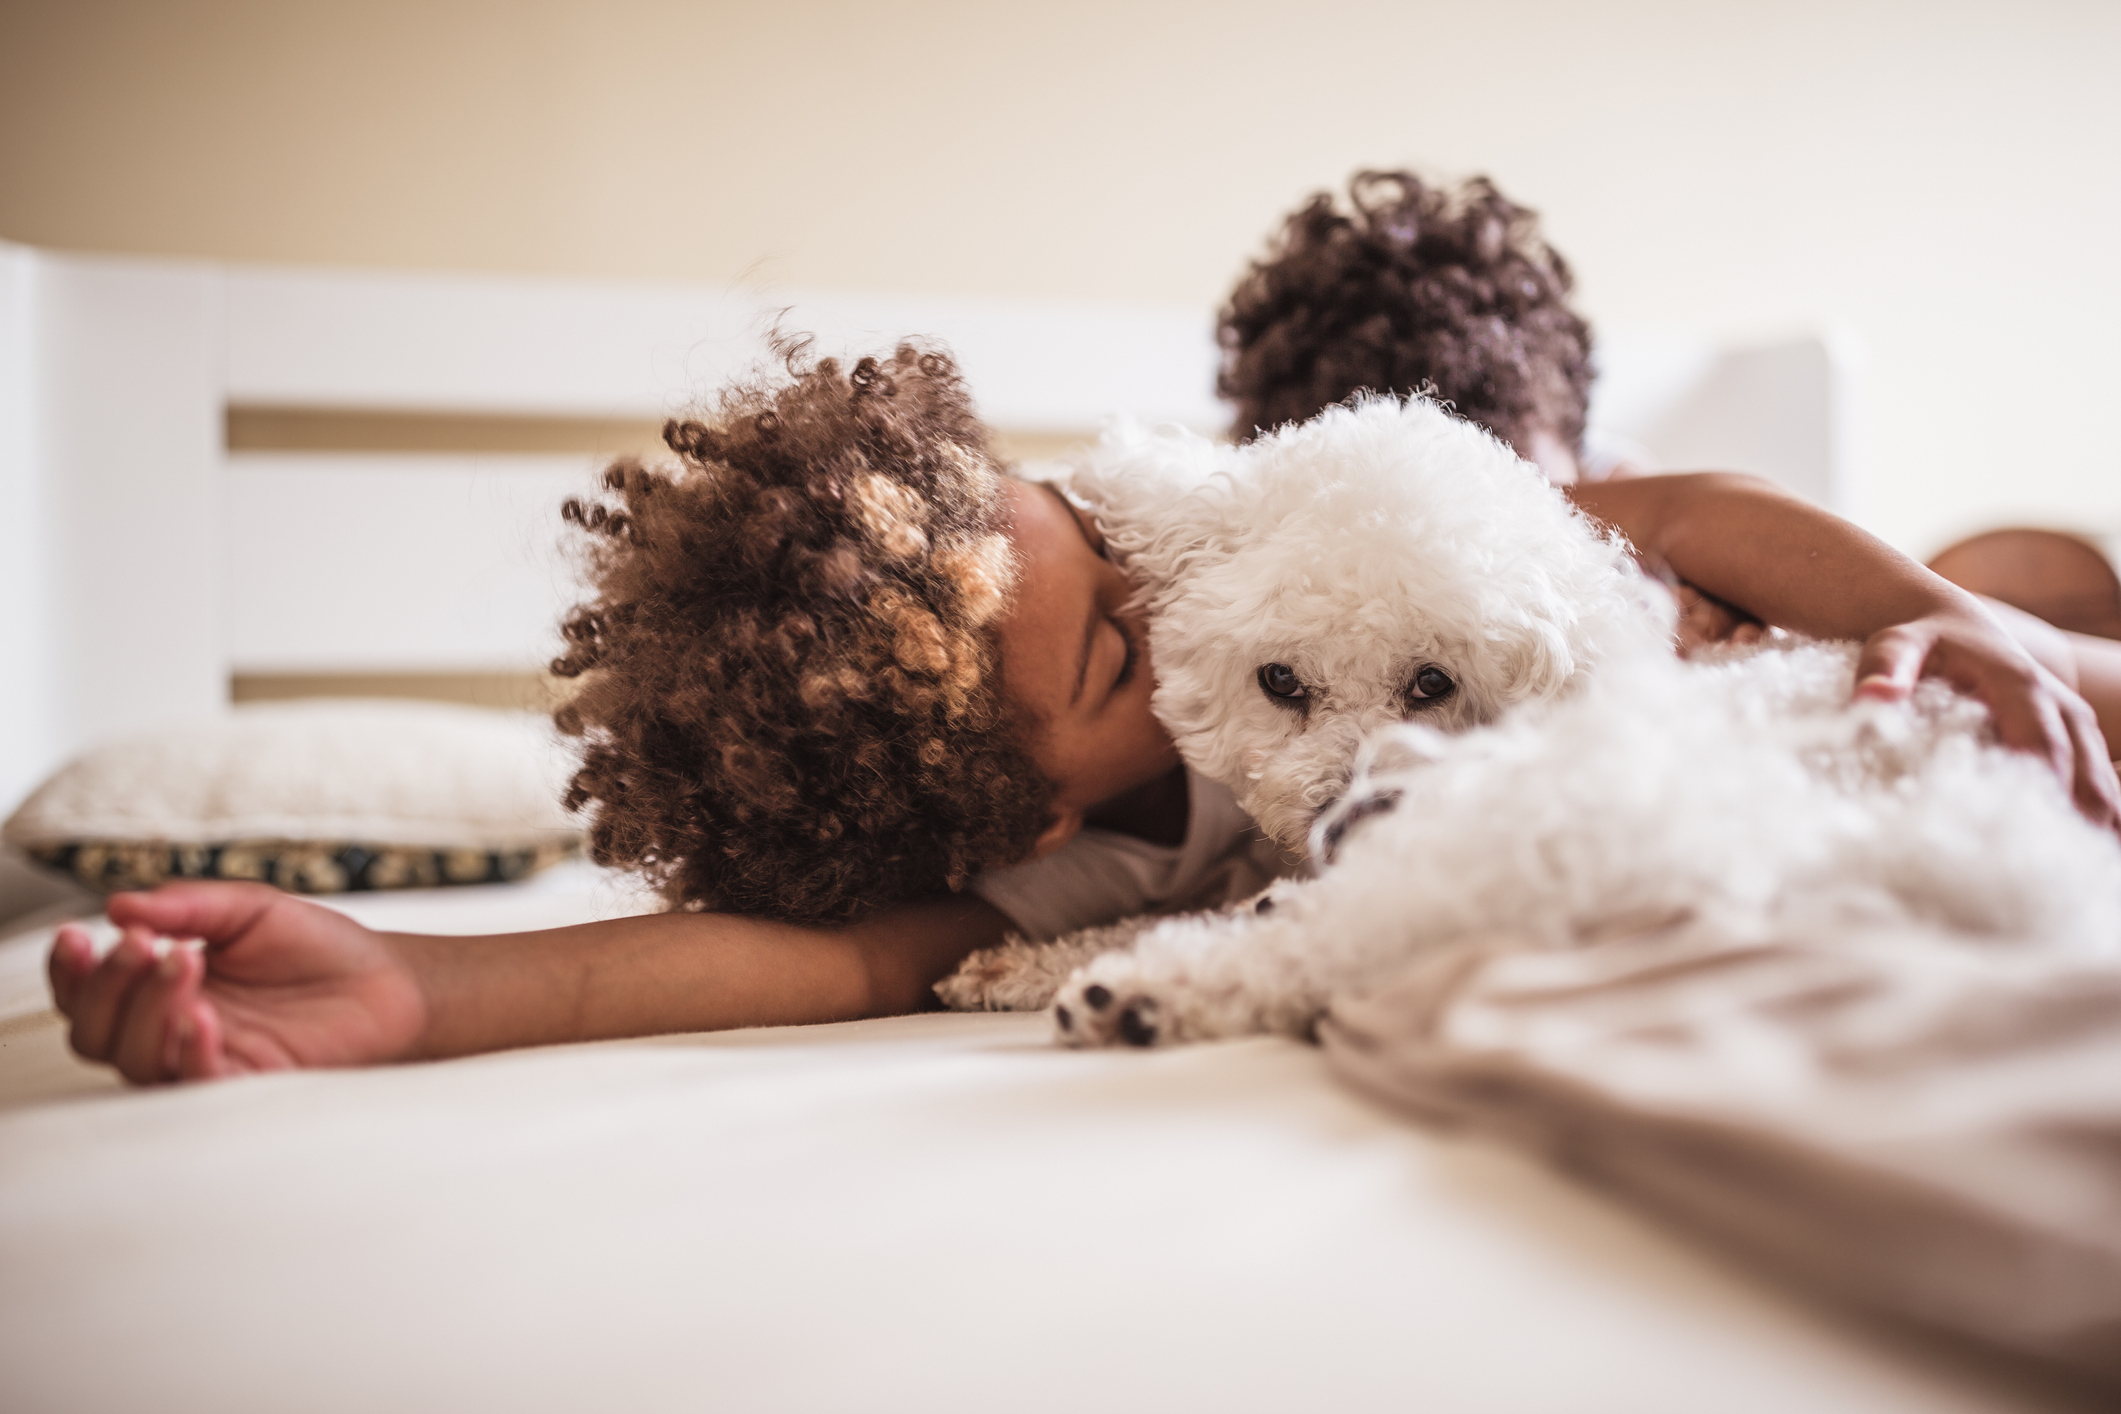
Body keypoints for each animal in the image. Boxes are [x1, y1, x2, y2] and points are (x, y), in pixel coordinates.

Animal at [945, 396, 2121, 1038]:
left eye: (1432, 683)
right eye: (1279, 681)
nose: (1344, 814)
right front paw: (1014, 958)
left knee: (1366, 938)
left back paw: (1140, 994)